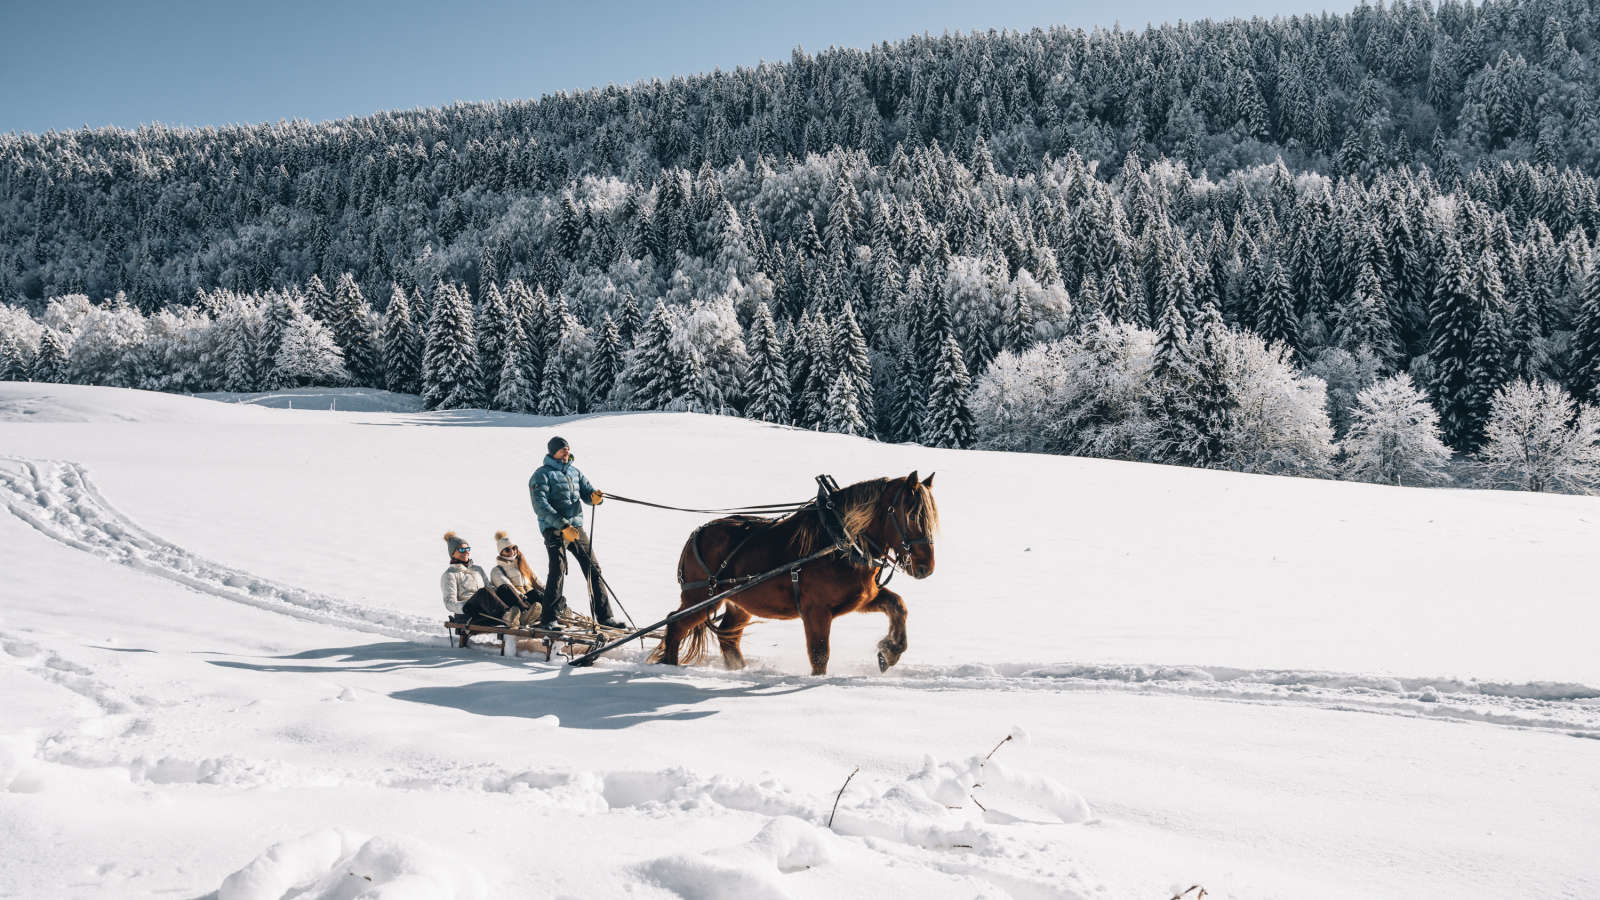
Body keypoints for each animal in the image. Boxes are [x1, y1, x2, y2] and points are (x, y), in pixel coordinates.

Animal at [649, 470, 934, 672]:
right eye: (911, 516)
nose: (926, 568)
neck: (839, 540)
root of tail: (696, 534)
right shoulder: (815, 611)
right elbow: (819, 656)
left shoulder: (861, 598)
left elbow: (898, 606)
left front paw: (890, 651)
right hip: (702, 599)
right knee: (675, 624)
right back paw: (669, 668)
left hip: (739, 603)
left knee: (728, 638)